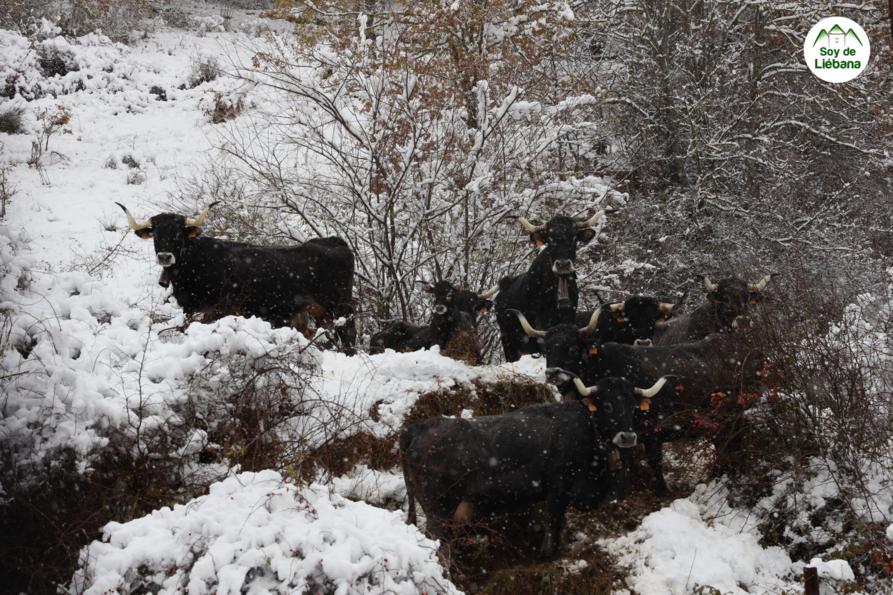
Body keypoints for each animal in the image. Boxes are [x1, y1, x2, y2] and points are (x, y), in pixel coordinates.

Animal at [117, 202, 357, 353]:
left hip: (340, 307)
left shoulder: (218, 310)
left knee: (348, 335)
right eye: (156, 234)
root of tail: (334, 241)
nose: (165, 256)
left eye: (177, 233)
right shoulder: (190, 309)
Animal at [400, 374, 668, 559]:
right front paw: (548, 554)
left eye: (634, 407)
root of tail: (418, 427)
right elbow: (554, 521)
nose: (628, 437)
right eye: (608, 405)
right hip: (439, 511)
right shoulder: (558, 487)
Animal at [514, 309, 765, 495]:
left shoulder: (651, 428)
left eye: (573, 347)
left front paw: (661, 491)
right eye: (547, 348)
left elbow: (653, 460)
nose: (553, 373)